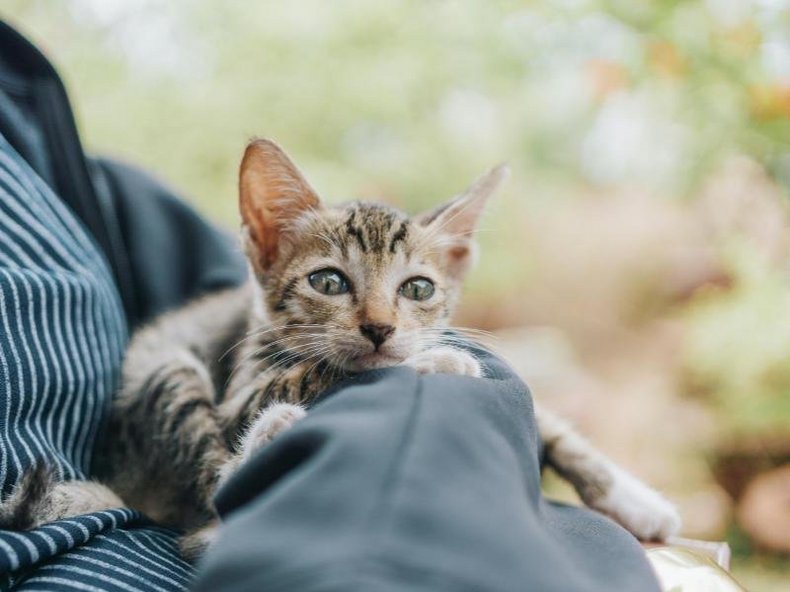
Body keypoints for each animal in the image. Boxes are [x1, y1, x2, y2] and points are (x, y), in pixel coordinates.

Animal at [0, 139, 680, 560]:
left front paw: (632, 497)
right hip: (166, 367)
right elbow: (326, 372)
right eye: (328, 282)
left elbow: (551, 419)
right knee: (207, 498)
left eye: (418, 288)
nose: (380, 328)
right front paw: (427, 360)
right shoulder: (242, 383)